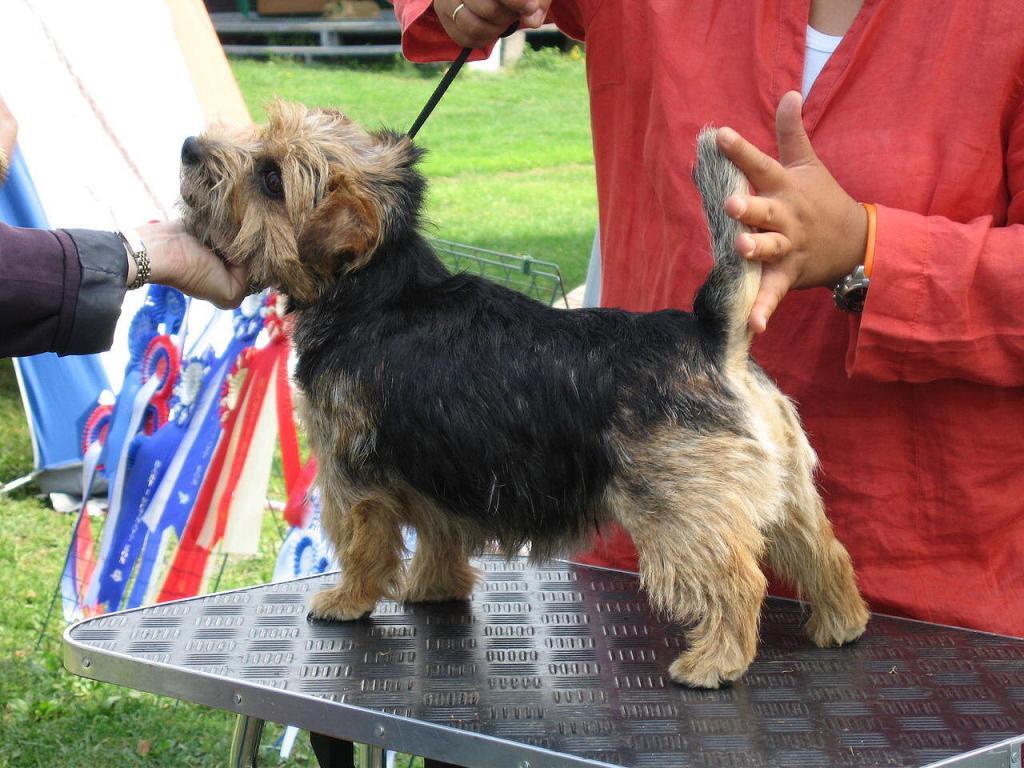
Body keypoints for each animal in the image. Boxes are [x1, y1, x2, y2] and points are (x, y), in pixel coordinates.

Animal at [180, 103, 868, 692]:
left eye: (271, 176)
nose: (189, 146)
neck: (376, 288)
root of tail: (711, 336)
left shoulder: (354, 476)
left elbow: (361, 545)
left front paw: (347, 601)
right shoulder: (441, 469)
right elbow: (438, 536)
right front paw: (435, 589)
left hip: (682, 513)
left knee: (738, 581)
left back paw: (713, 663)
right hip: (786, 496)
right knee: (824, 554)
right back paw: (842, 625)